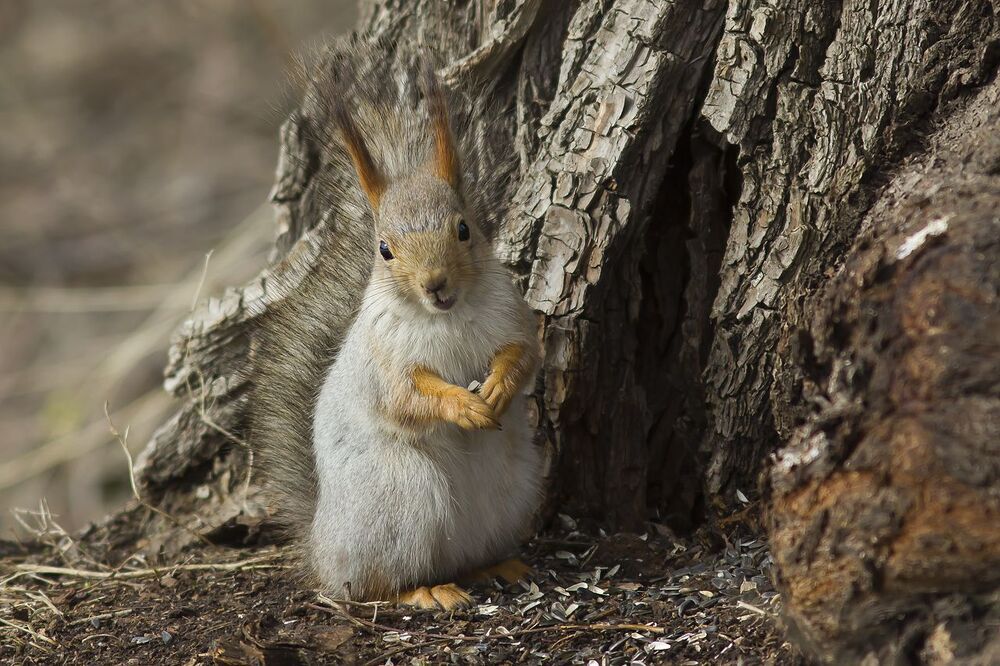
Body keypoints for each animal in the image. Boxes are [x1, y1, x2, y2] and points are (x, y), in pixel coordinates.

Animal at [249, 53, 543, 611]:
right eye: (384, 249)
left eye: (464, 228)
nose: (436, 283)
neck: (446, 315)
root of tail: (321, 546)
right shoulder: (384, 362)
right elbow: (408, 397)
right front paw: (462, 405)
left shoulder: (514, 318)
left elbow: (523, 355)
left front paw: (497, 387)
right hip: (403, 495)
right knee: (373, 586)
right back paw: (425, 591)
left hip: (512, 491)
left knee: (466, 557)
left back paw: (498, 565)